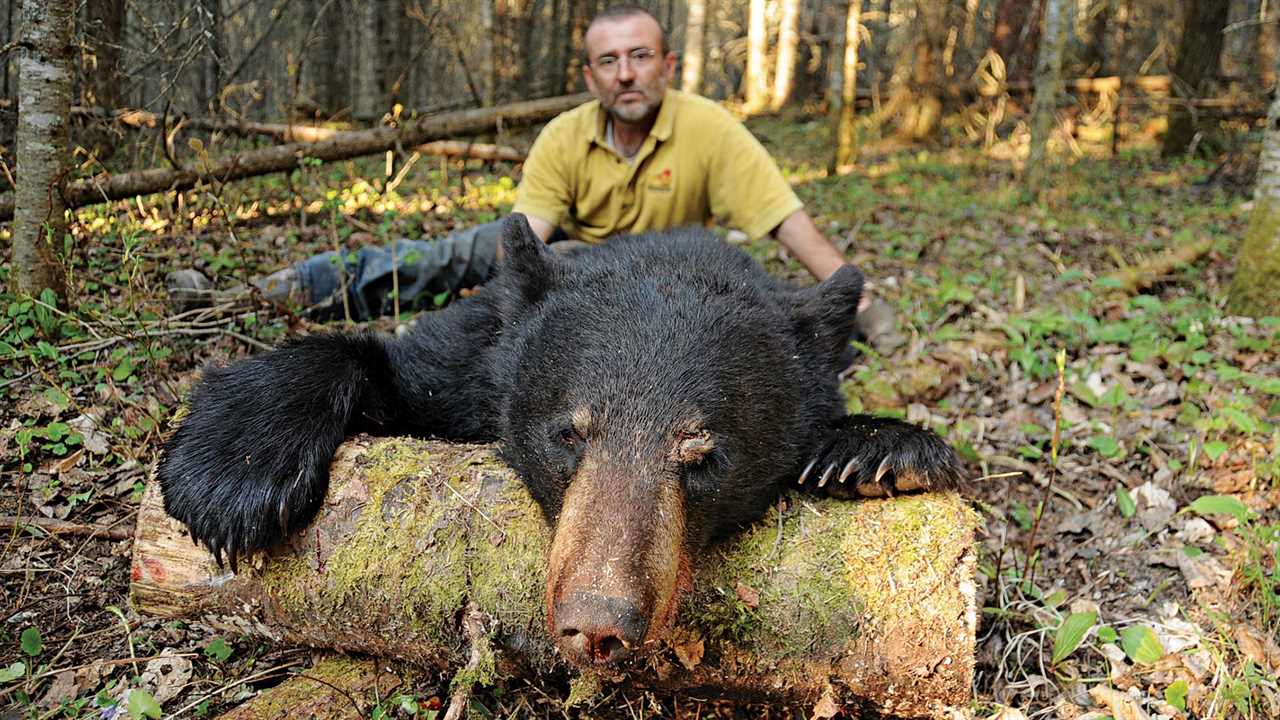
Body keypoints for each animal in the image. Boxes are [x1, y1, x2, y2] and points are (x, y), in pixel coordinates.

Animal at [157, 212, 962, 666]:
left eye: (705, 455)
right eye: (568, 433)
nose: (598, 624)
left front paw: (876, 450)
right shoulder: (475, 362)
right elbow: (388, 368)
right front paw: (230, 473)